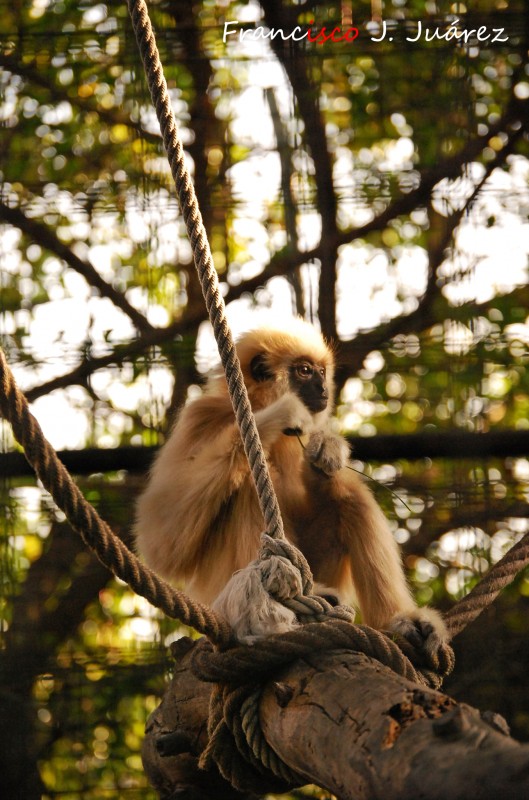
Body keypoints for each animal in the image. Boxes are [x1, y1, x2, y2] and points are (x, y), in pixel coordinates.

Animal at [135, 322, 446, 652]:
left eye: (321, 372)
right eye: (305, 371)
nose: (323, 390)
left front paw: (328, 450)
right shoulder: (201, 417)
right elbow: (163, 545)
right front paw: (277, 415)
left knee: (350, 494)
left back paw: (398, 619)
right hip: (220, 591)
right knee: (247, 487)